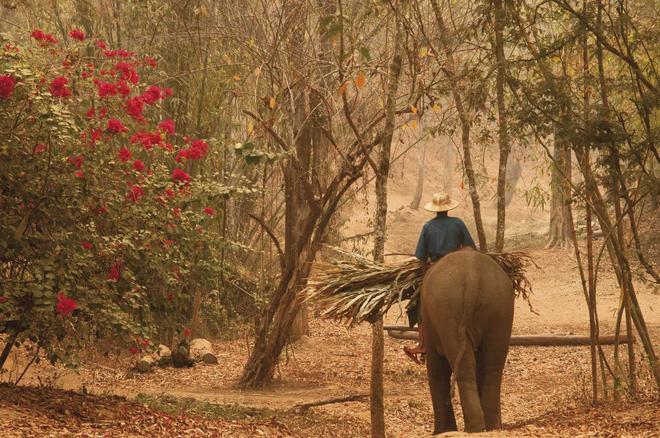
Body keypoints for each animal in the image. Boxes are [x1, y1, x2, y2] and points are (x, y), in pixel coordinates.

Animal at [422, 246, 516, 434]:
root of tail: (473, 276)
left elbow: (435, 368)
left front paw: (440, 432)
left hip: (447, 310)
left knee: (465, 366)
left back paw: (474, 428)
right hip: (500, 306)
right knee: (493, 366)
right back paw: (492, 427)